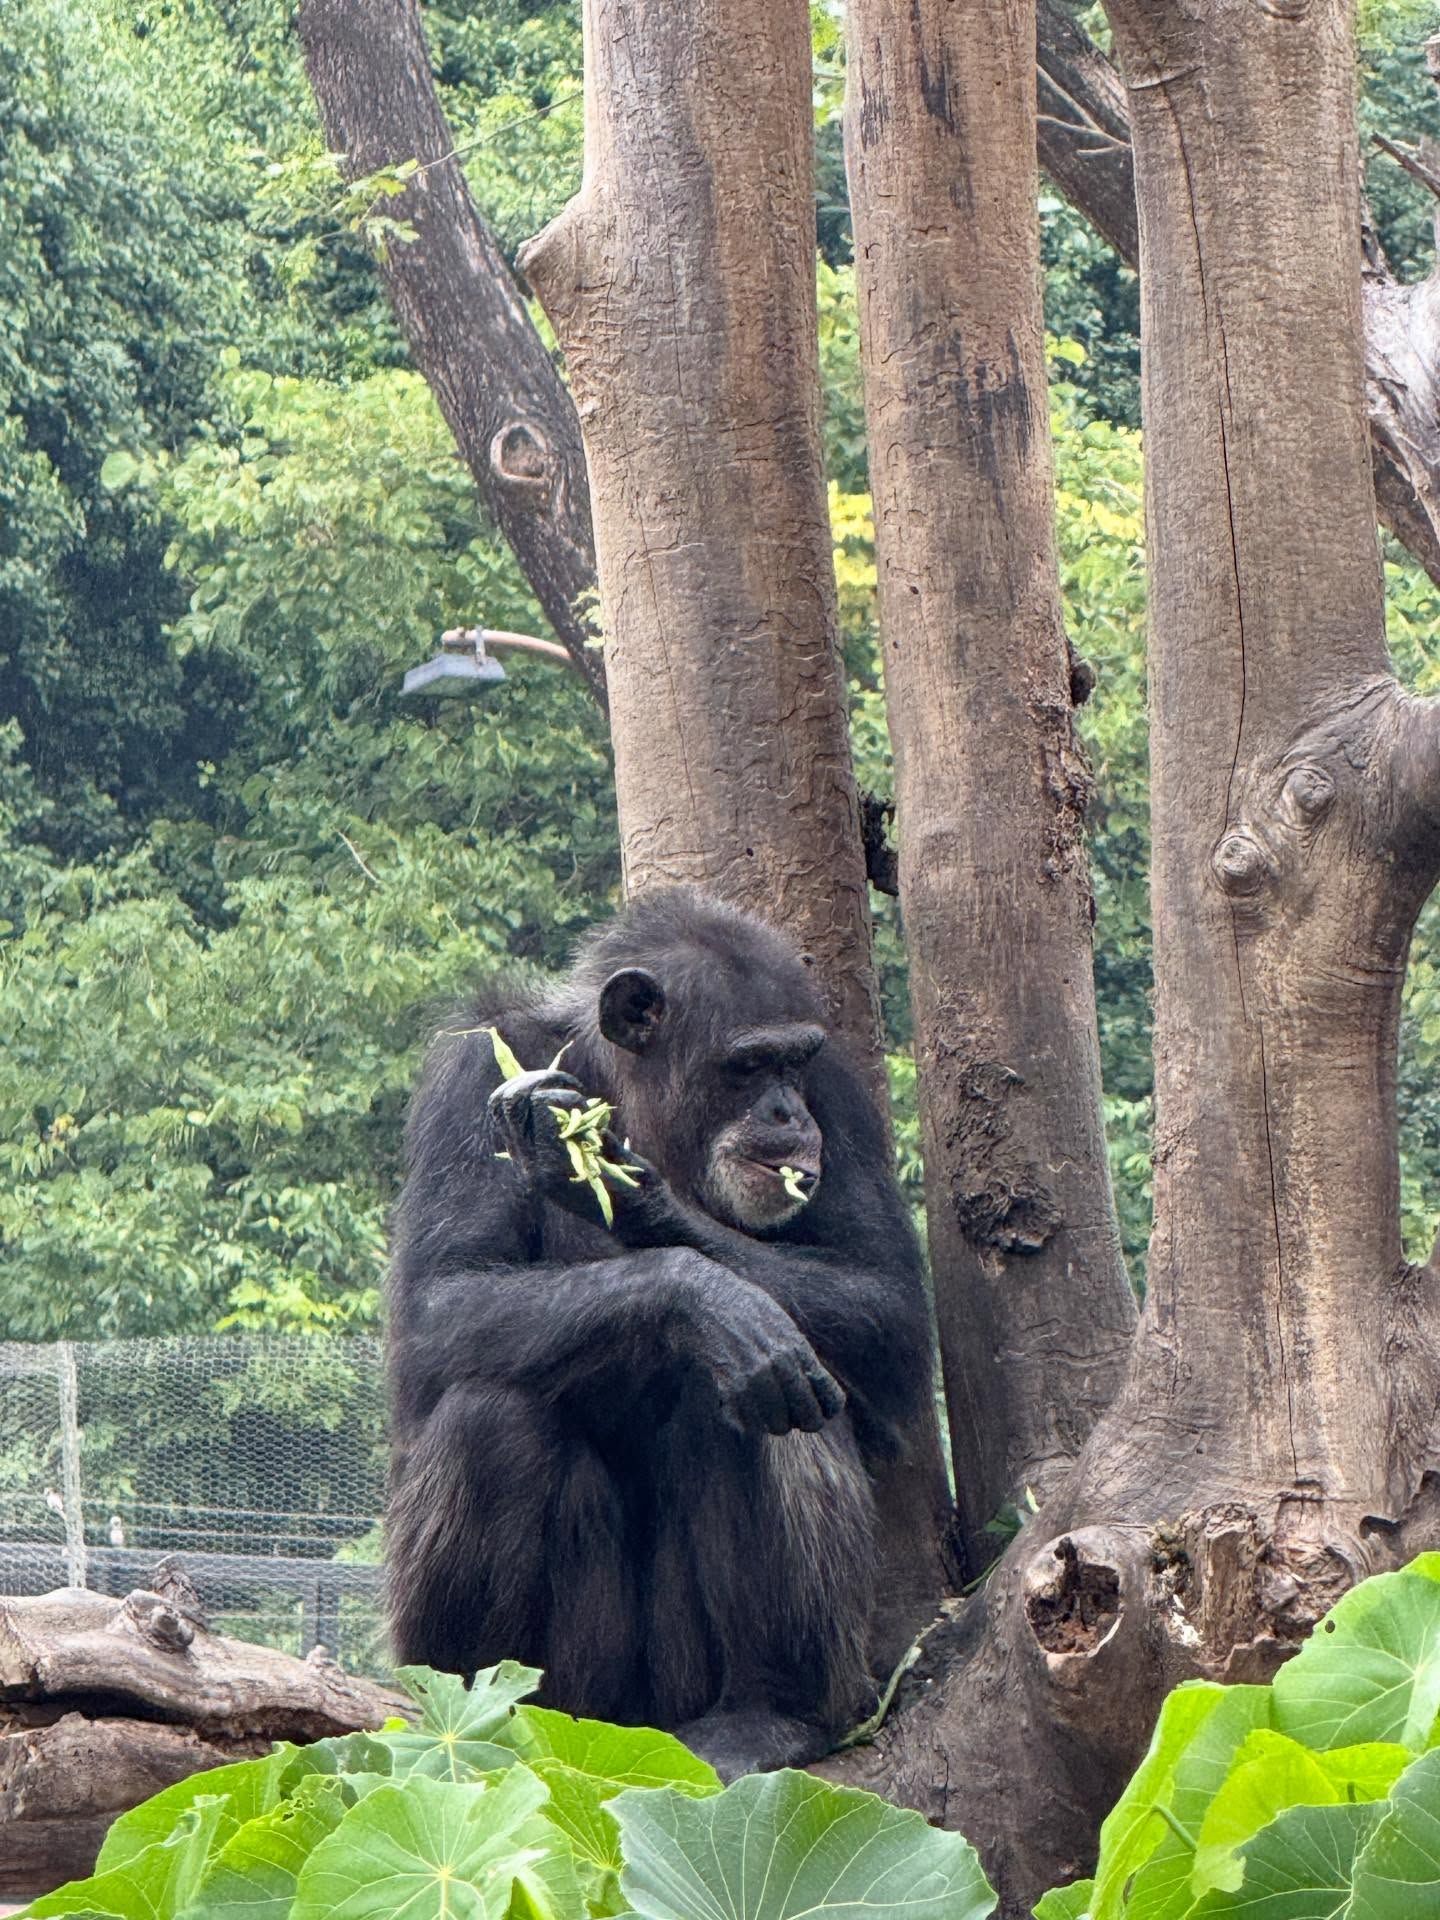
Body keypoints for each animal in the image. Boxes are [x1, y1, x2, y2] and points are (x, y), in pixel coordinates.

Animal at [389, 890, 936, 1774]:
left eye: (793, 1065)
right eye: (746, 1066)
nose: (787, 1111)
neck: (635, 1094)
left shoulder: (842, 1092)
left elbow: (884, 1301)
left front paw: (629, 1192)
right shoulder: (470, 1075)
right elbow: (438, 1302)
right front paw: (695, 1290)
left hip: (687, 1691)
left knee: (757, 1394)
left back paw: (766, 1714)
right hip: (587, 1692)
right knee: (491, 1415)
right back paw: (482, 1713)